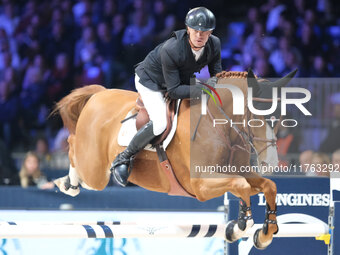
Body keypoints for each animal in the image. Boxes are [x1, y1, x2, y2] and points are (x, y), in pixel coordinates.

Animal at [52, 69, 298, 249]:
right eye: (255, 115)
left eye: (279, 116)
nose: (270, 163)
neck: (220, 124)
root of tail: (99, 94)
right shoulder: (200, 185)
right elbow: (241, 185)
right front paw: (241, 226)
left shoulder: (239, 172)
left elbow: (267, 186)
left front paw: (264, 233)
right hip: (95, 172)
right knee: (73, 146)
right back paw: (67, 183)